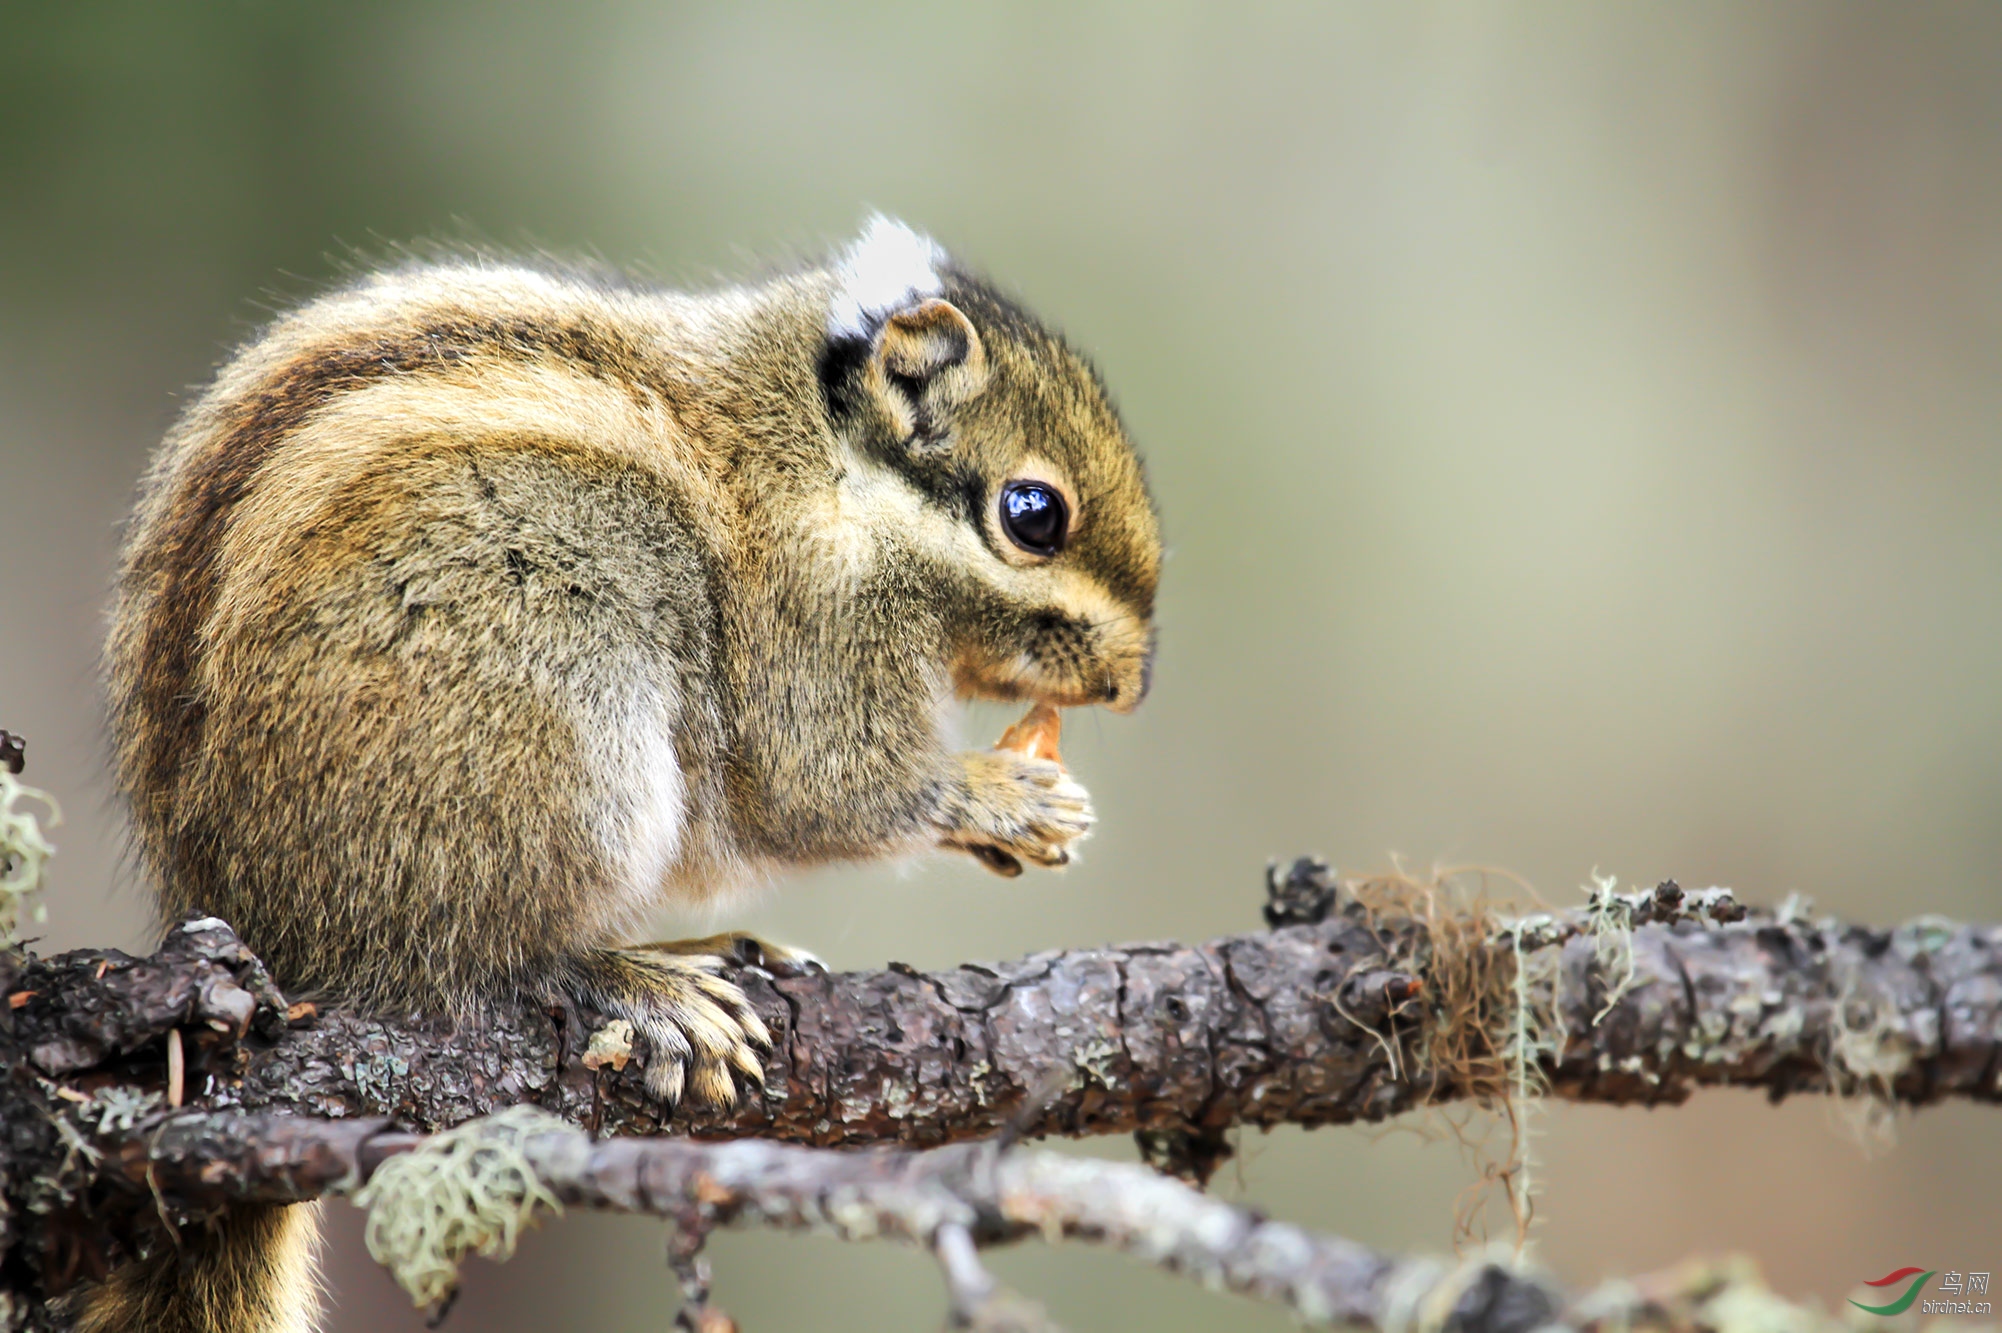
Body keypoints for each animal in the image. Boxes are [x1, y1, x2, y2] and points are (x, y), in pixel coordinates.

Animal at [86, 213, 1161, 1320]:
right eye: (1034, 513)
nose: (1132, 682)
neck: (829, 463)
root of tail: (249, 911)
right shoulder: (816, 629)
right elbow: (828, 787)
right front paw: (1010, 799)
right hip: (547, 712)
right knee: (481, 961)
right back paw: (643, 982)